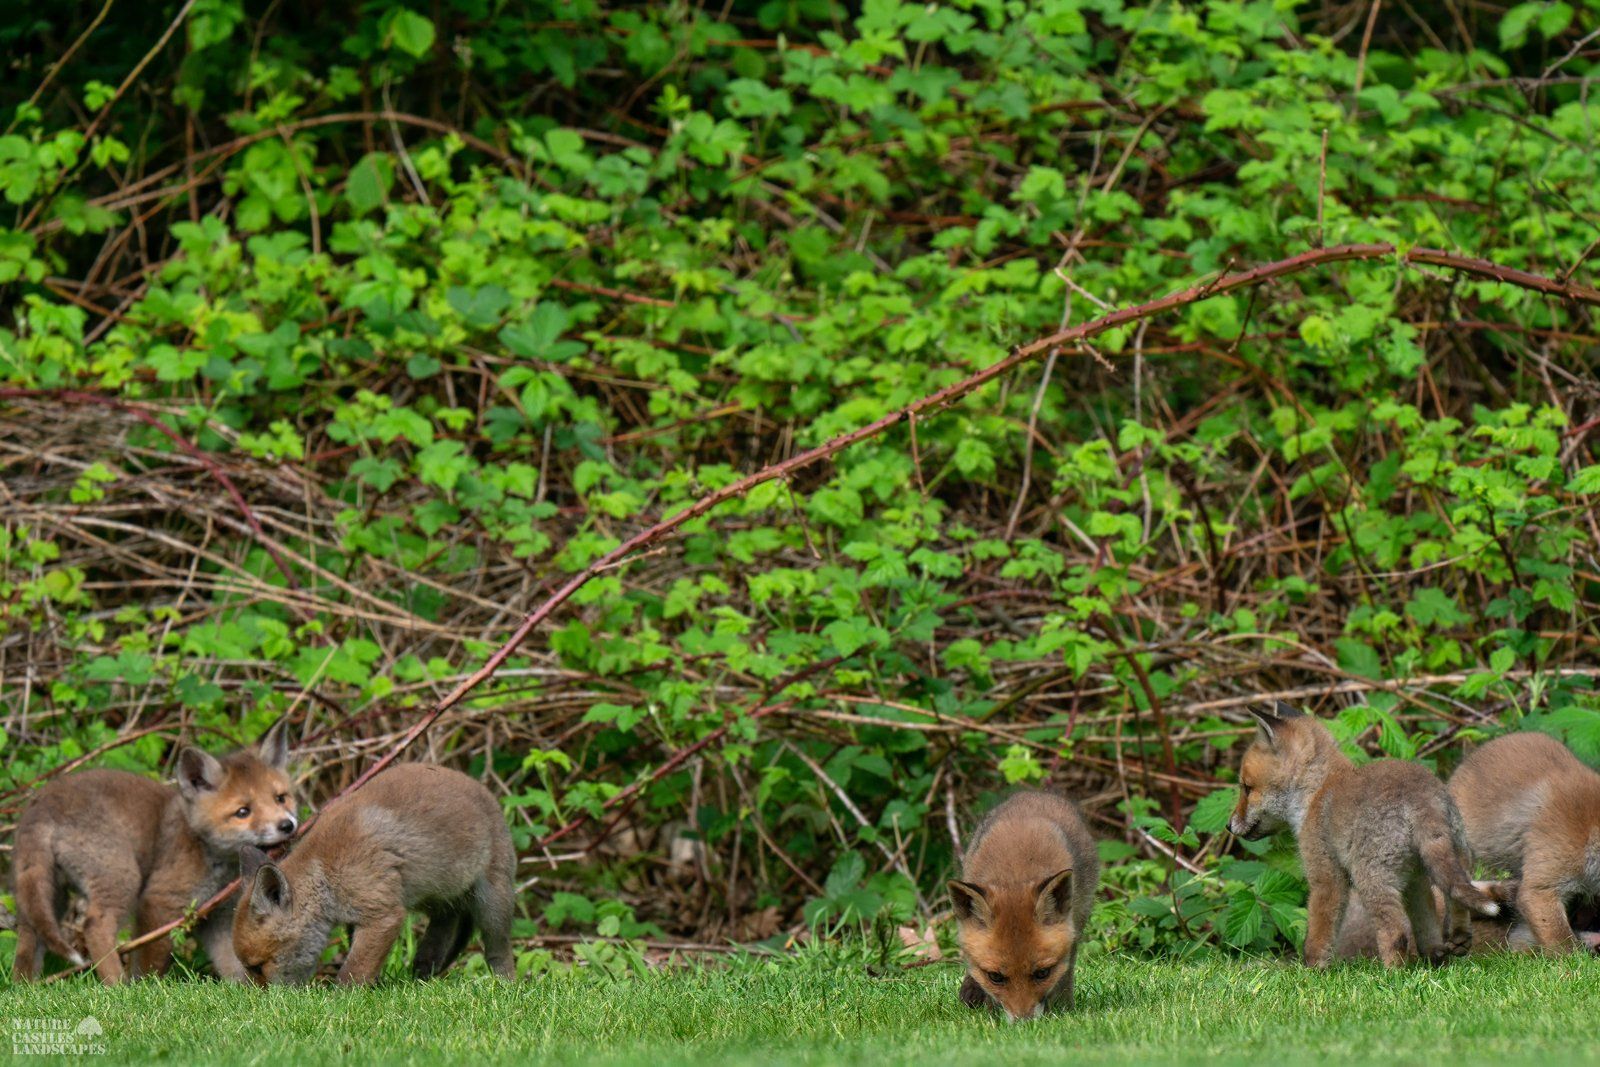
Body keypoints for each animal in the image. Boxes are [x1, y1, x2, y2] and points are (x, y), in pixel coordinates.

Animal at [10, 718, 299, 983]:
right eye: (243, 812)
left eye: (280, 798)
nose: (287, 825)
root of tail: (43, 803)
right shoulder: (158, 901)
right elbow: (151, 960)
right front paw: (146, 987)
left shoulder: (218, 915)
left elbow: (233, 962)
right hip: (122, 877)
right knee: (95, 926)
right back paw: (117, 986)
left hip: (47, 895)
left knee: (28, 937)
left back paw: (25, 988)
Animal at [232, 762, 516, 985]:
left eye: (258, 966)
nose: (264, 1001)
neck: (326, 873)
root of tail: (481, 788)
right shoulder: (356, 919)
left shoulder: (382, 914)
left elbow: (353, 969)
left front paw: (343, 999)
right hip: (436, 897)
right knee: (443, 931)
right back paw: (422, 977)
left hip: (492, 902)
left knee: (498, 950)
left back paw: (505, 984)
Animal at [947, 790, 1099, 1022]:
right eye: (995, 976)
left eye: (1042, 973)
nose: (1024, 1023)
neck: (1015, 875)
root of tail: (1036, 794)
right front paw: (991, 1016)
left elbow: (1064, 977)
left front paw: (1063, 1010)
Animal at [1228, 702, 1499, 967]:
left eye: (1247, 788)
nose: (1229, 827)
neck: (1317, 792)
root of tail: (1423, 798)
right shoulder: (1415, 881)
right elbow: (1428, 926)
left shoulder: (1326, 877)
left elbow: (1319, 933)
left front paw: (1311, 970)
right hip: (1444, 866)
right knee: (1454, 905)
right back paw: (1447, 951)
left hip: (1370, 879)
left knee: (1396, 932)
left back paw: (1393, 975)